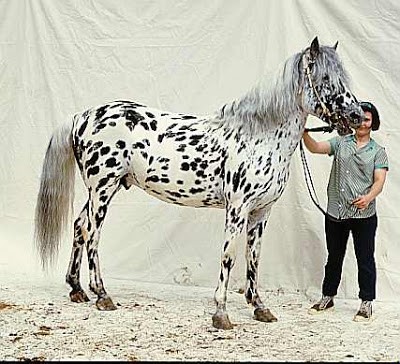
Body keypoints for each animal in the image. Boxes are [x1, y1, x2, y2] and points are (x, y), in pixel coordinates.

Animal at [34, 37, 364, 330]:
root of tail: (83, 116)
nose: (357, 115)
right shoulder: (237, 209)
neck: (258, 137)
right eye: (325, 77)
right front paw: (221, 314)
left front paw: (260, 307)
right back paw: (102, 295)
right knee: (92, 233)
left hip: (102, 190)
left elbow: (253, 258)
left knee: (79, 226)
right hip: (102, 188)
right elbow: (229, 256)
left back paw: (77, 289)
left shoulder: (261, 212)